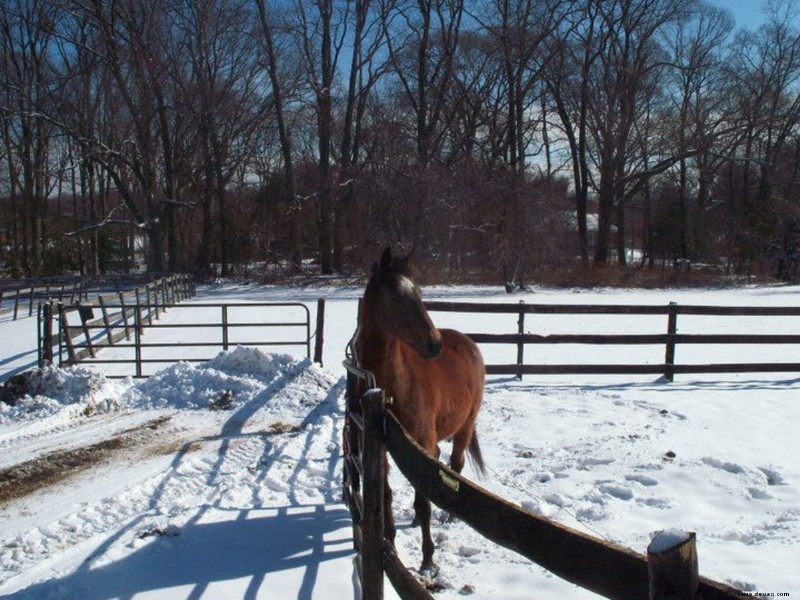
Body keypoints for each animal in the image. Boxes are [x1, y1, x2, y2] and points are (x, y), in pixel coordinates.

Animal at [358, 247, 488, 572]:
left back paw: (451, 514)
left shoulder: (422, 441)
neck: (393, 385)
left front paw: (428, 558)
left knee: (455, 465)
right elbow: (387, 495)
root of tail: (467, 343)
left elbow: (424, 500)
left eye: (418, 291)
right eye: (393, 293)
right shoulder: (382, 445)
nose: (434, 344)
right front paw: (389, 538)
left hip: (464, 427)